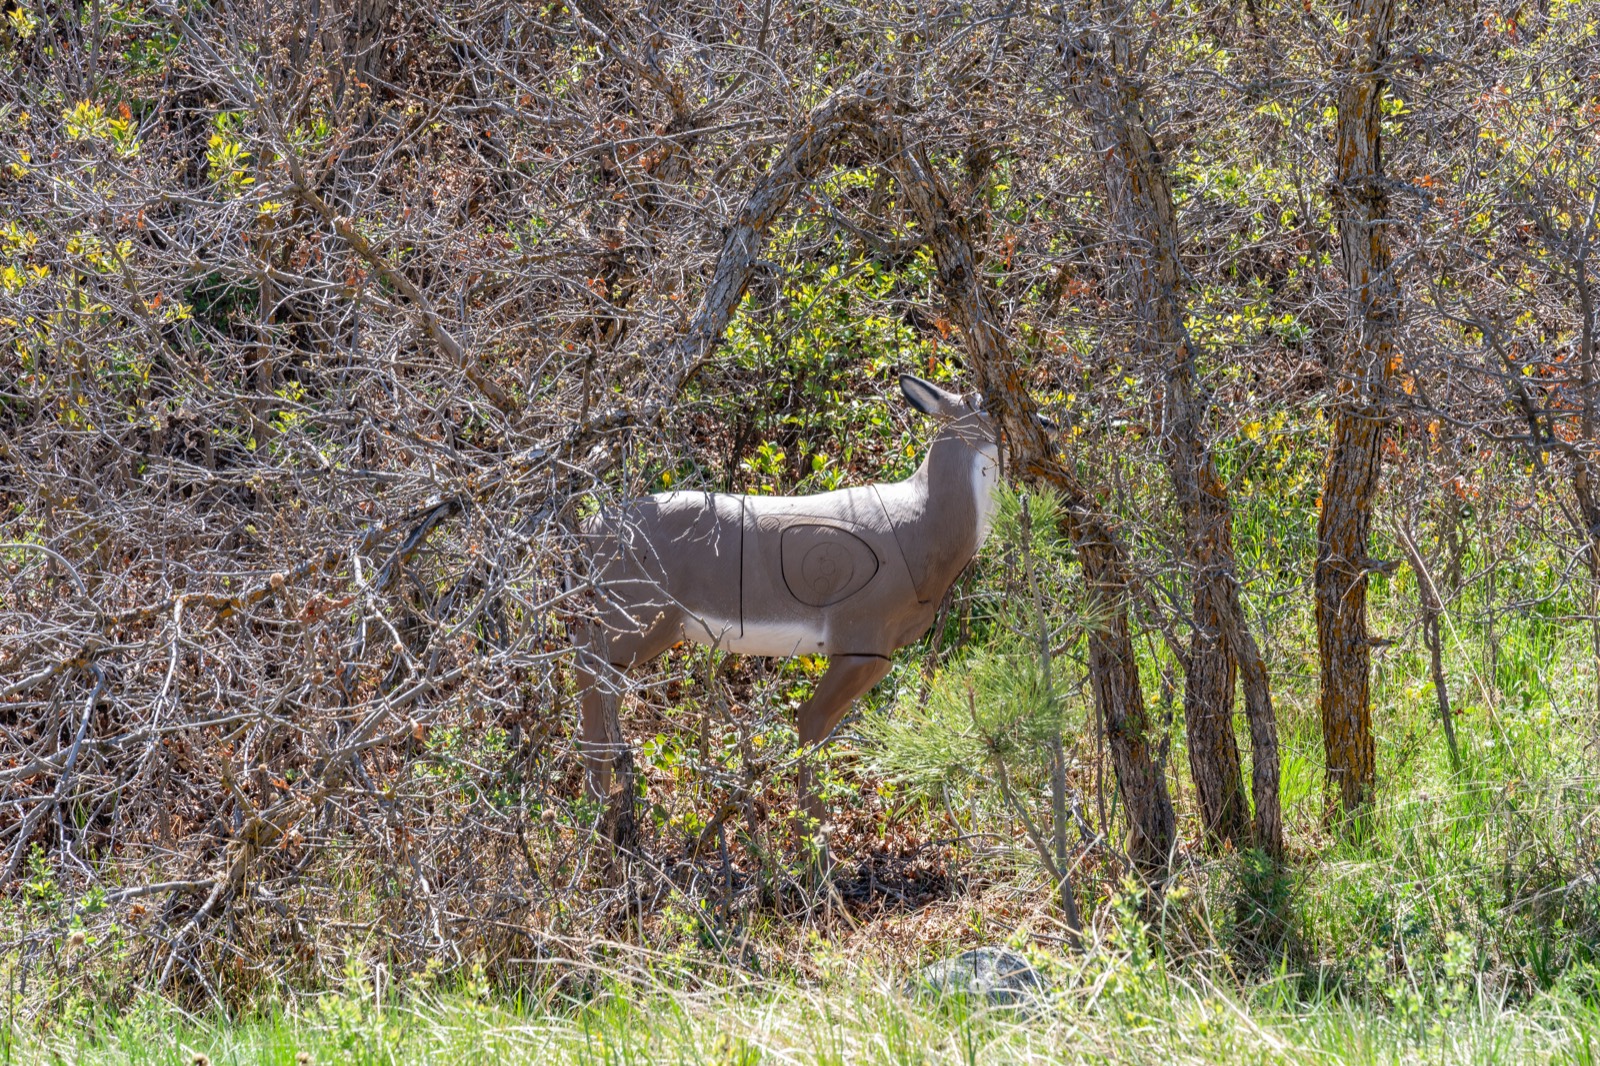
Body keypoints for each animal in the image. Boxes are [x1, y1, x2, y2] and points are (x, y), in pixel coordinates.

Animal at [572, 374, 1012, 840]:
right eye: (985, 404)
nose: (1037, 420)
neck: (921, 527)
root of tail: (587, 533)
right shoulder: (860, 638)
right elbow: (811, 720)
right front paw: (813, 845)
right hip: (632, 622)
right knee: (591, 693)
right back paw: (596, 824)